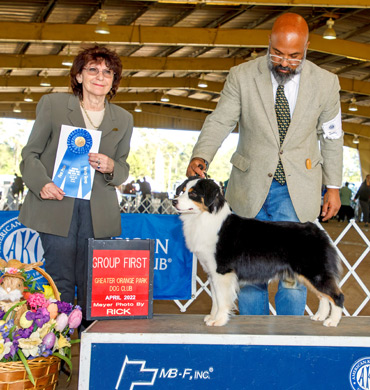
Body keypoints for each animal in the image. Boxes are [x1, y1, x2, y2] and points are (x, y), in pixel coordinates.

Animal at [173, 178, 344, 328]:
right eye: (182, 190)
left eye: (193, 193)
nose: (174, 201)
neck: (205, 218)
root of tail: (319, 232)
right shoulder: (212, 271)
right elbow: (215, 298)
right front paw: (212, 317)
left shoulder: (222, 271)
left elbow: (221, 299)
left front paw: (219, 321)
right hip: (308, 273)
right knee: (323, 296)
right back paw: (319, 316)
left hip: (315, 271)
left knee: (337, 295)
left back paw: (332, 321)